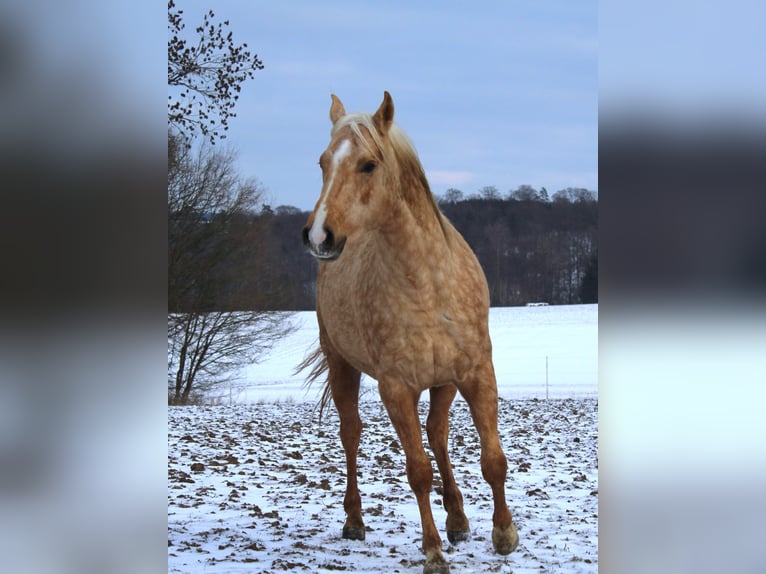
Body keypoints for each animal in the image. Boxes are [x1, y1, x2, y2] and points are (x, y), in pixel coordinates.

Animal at [301, 92, 519, 574]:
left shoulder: (477, 374)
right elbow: (418, 471)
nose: (319, 236)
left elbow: (493, 459)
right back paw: (355, 521)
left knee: (437, 433)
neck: (428, 283)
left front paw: (504, 534)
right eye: (323, 162)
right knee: (351, 434)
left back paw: (458, 519)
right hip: (343, 368)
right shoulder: (396, 388)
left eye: (368, 164)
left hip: (443, 383)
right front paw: (433, 551)